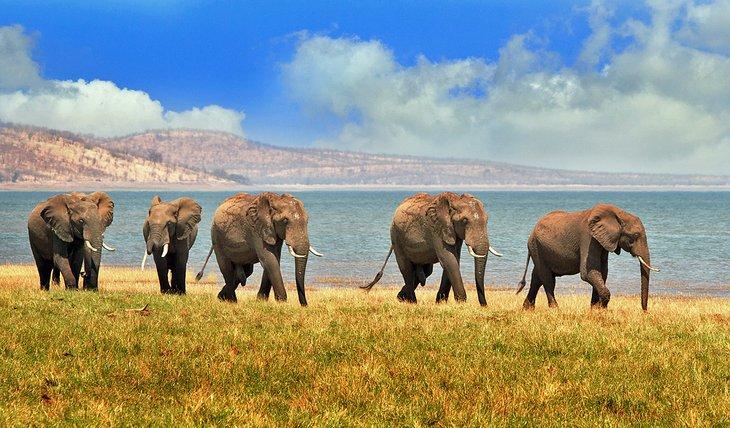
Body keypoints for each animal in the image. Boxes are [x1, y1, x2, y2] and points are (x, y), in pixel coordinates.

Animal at [363, 192, 502, 306]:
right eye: (464, 220)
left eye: (487, 219)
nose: (484, 305)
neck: (454, 200)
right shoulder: (436, 228)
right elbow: (449, 260)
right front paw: (462, 303)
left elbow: (453, 260)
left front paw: (440, 303)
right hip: (396, 236)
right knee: (406, 268)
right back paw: (412, 302)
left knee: (425, 271)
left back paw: (401, 298)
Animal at [516, 203, 660, 311]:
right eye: (635, 236)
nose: (645, 311)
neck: (619, 214)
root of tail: (532, 230)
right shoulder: (588, 237)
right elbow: (588, 272)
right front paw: (602, 309)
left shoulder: (602, 241)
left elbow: (602, 272)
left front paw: (596, 310)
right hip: (536, 247)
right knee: (547, 279)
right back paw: (555, 309)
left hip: (539, 248)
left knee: (537, 277)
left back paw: (527, 309)